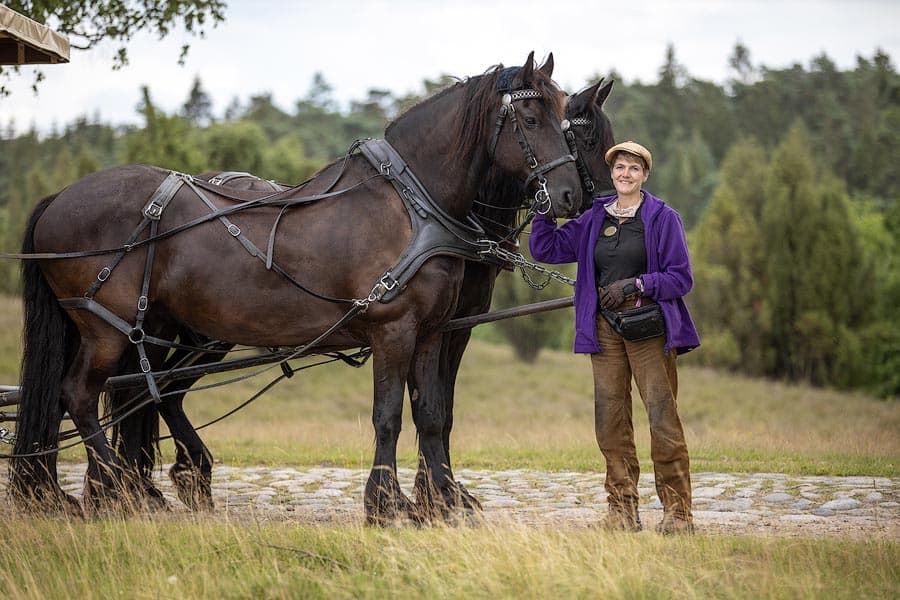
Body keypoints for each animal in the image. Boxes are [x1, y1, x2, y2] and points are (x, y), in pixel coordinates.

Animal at [8, 51, 576, 524]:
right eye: (531, 120)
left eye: (567, 117)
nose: (570, 194)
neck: (412, 209)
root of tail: (58, 199)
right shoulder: (394, 330)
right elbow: (389, 416)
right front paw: (387, 504)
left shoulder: (434, 331)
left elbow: (432, 415)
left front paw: (443, 501)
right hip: (107, 327)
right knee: (79, 395)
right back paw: (122, 487)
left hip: (160, 331)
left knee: (128, 394)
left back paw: (99, 488)